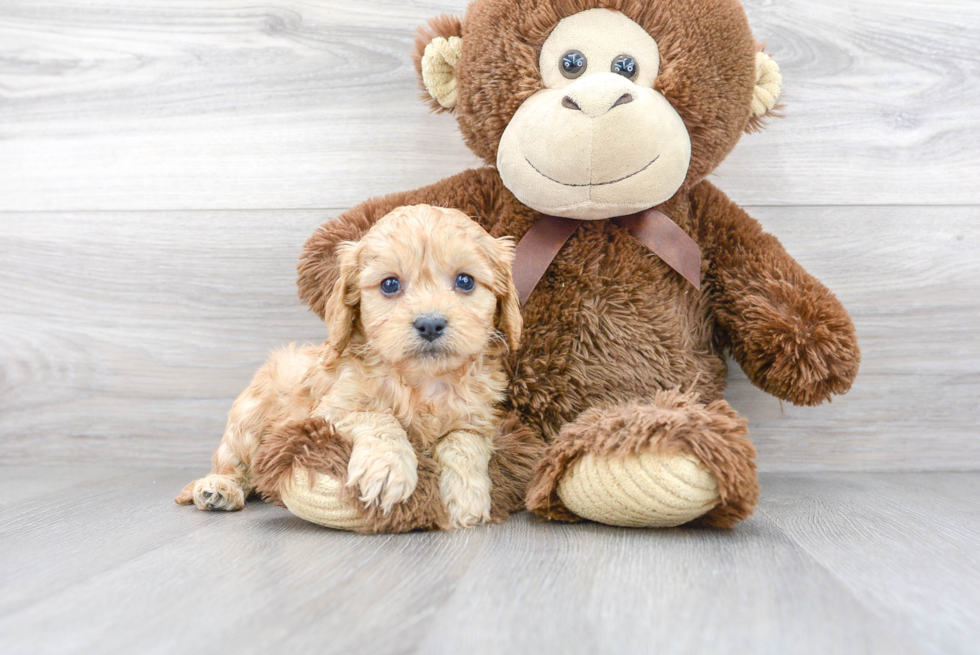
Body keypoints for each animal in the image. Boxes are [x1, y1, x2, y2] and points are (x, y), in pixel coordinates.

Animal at [179, 205, 524, 528]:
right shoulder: (332, 408)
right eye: (389, 285)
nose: (430, 324)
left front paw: (466, 496)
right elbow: (377, 416)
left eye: (465, 281)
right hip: (250, 417)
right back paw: (218, 488)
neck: (422, 380)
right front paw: (387, 469)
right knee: (234, 463)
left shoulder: (476, 419)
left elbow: (464, 443)